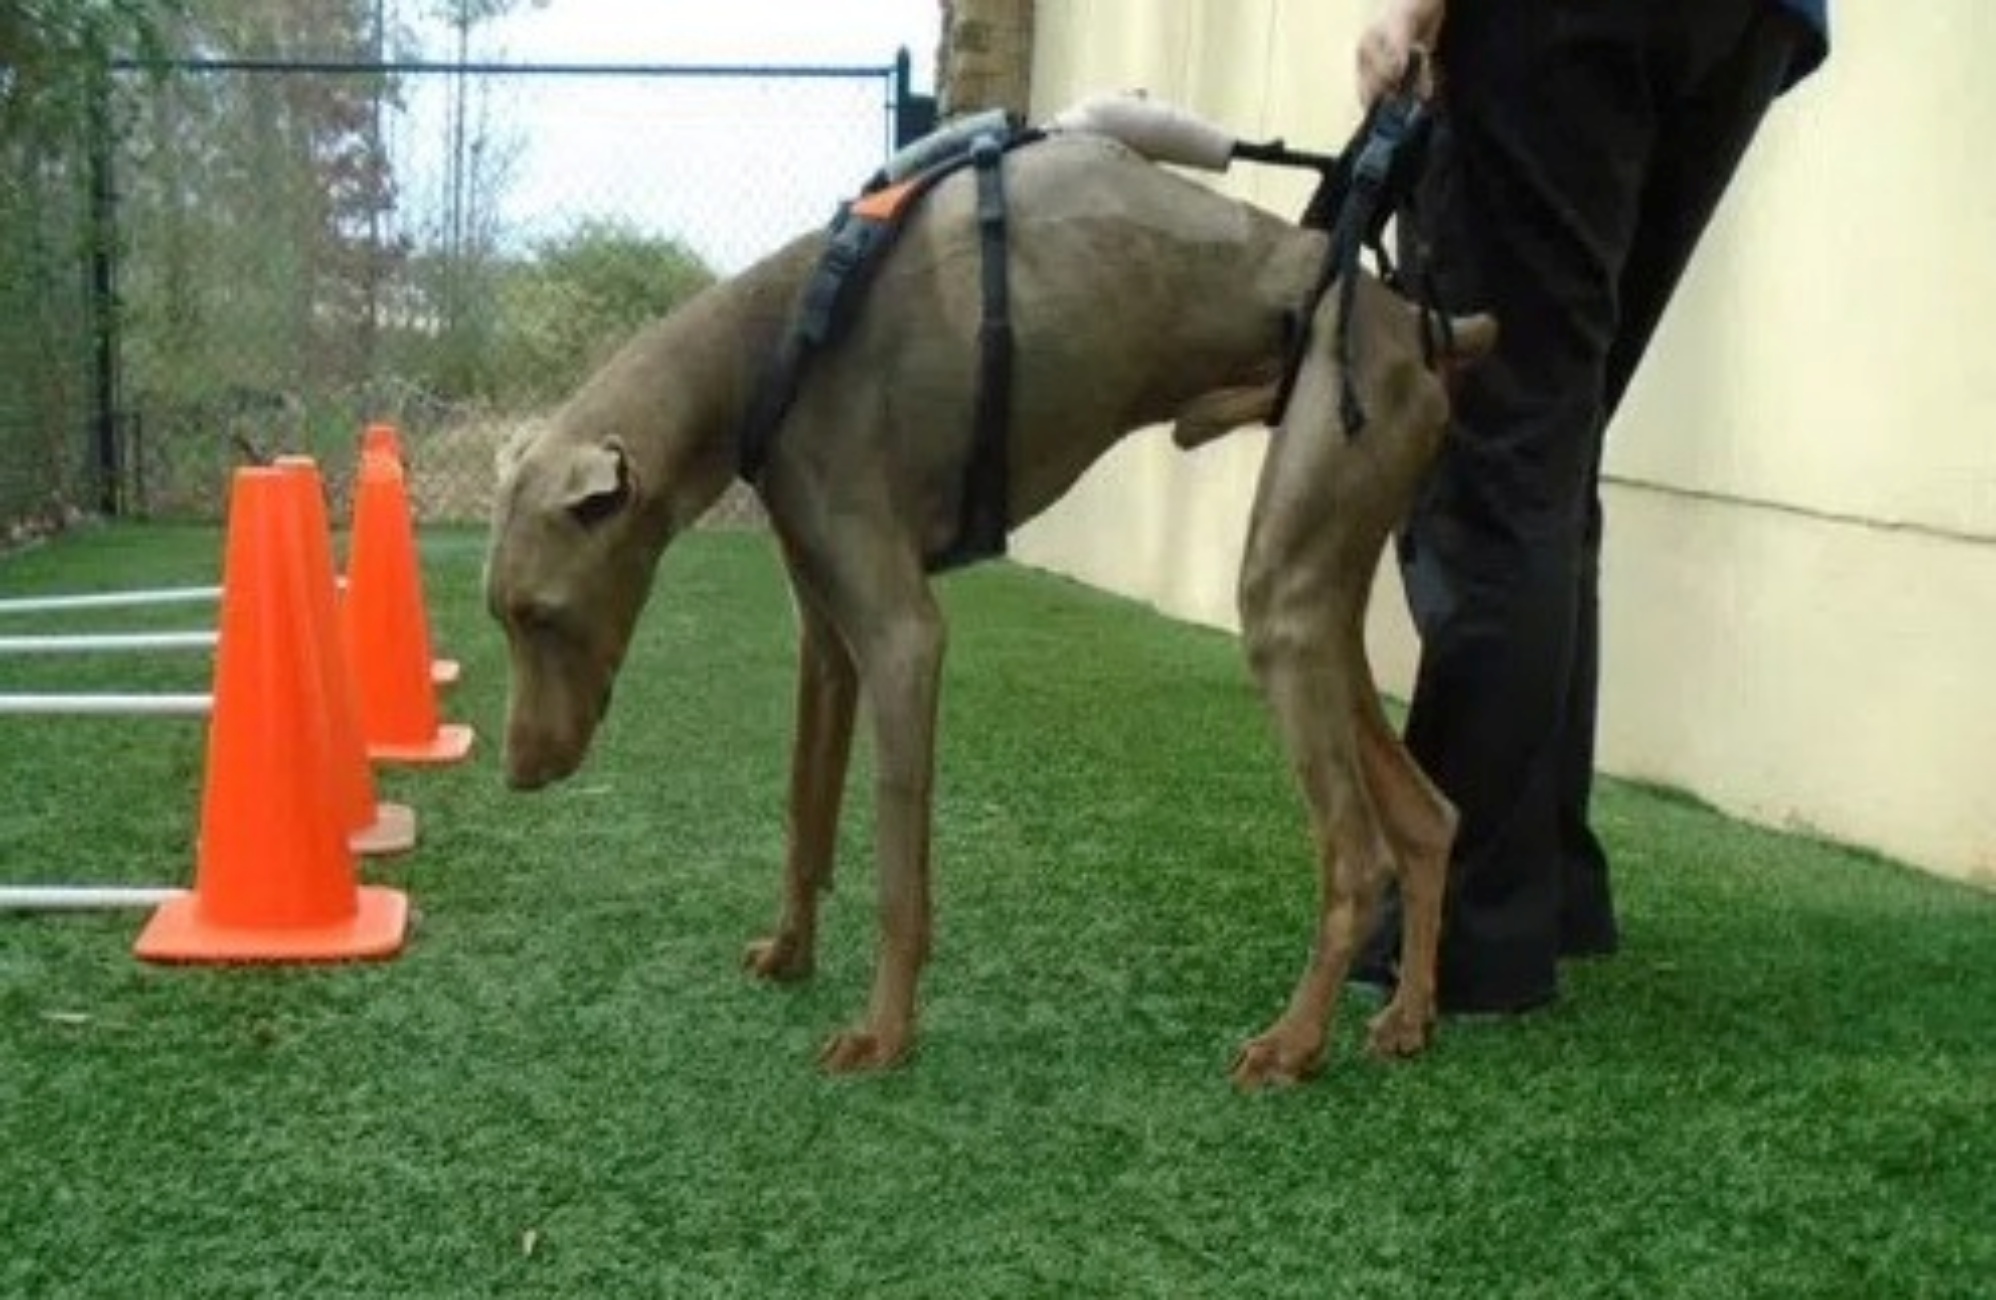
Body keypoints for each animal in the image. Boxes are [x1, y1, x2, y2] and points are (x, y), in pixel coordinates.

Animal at [479, 104, 1485, 1086]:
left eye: (543, 616)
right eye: (502, 620)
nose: (518, 773)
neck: (770, 341)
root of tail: (1416, 325)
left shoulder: (903, 639)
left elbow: (897, 872)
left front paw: (884, 1034)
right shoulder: (826, 639)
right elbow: (805, 812)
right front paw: (791, 951)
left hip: (1298, 553)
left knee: (1356, 854)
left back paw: (1294, 1042)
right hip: (1322, 596)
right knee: (1428, 818)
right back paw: (1407, 1017)